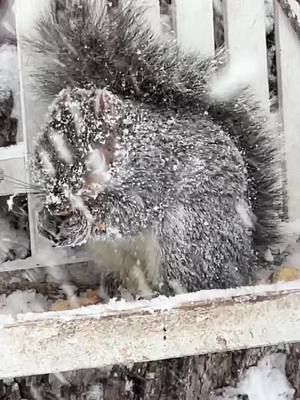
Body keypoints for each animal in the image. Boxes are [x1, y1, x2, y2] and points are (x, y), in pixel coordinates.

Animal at [23, 0, 282, 298]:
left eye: (90, 160)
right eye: (40, 157)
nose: (57, 203)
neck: (129, 150)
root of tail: (245, 261)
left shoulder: (154, 172)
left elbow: (129, 212)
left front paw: (84, 220)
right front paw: (44, 219)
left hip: (184, 239)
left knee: (193, 280)